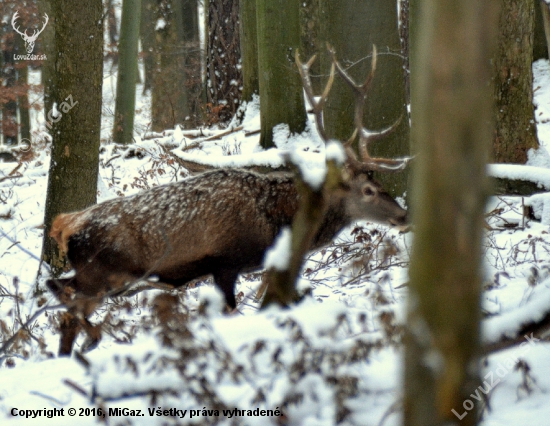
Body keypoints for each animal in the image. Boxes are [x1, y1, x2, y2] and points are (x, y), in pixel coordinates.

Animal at [46, 46, 410, 354]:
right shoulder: (224, 262)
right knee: (65, 303)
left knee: (58, 294)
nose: (404, 215)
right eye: (368, 189)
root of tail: (63, 225)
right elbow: (231, 313)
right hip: (103, 273)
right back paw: (89, 341)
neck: (275, 222)